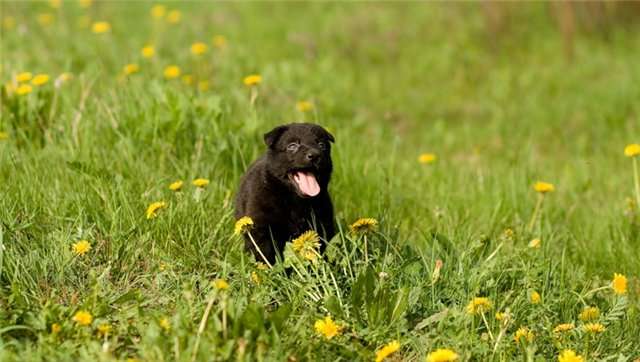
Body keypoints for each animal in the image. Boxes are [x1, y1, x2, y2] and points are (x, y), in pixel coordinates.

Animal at [234, 123, 336, 264]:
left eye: (321, 145)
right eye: (292, 146)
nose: (315, 155)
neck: (295, 200)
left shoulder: (322, 223)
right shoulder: (261, 227)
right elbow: (265, 253)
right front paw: (271, 269)